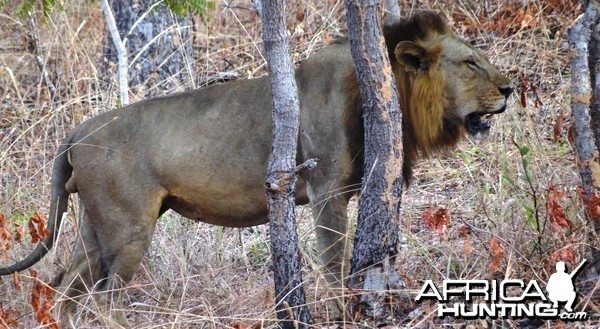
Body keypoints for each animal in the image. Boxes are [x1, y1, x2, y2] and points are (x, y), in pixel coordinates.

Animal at [1, 10, 516, 326]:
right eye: (470, 63)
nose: (511, 89)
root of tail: (77, 130)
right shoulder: (327, 191)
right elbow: (334, 263)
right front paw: (340, 310)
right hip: (128, 228)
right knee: (103, 301)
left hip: (96, 228)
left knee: (65, 292)